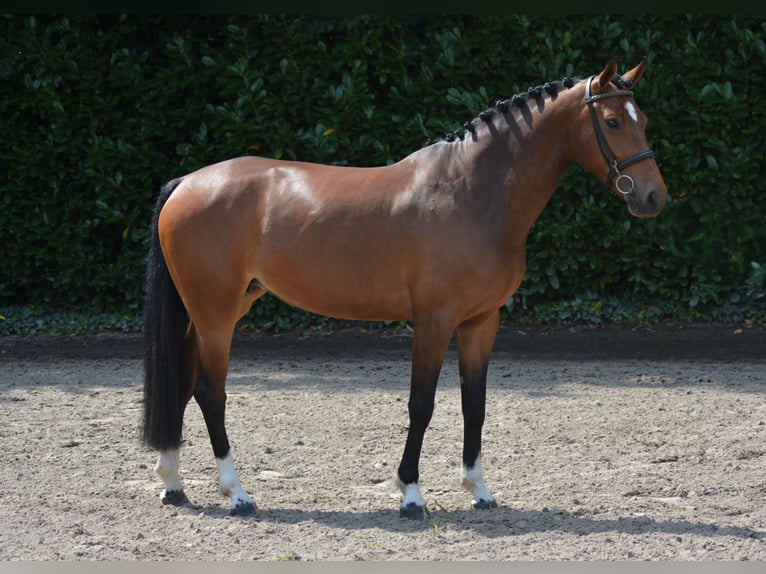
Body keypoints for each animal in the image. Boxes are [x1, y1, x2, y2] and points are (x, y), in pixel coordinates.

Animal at [142, 59, 664, 520]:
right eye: (613, 121)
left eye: (643, 120)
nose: (652, 196)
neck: (471, 192)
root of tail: (187, 182)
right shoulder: (434, 321)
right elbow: (422, 404)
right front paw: (411, 494)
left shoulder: (481, 322)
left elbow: (474, 403)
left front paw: (478, 489)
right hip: (216, 316)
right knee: (210, 392)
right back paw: (236, 493)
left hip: (214, 312)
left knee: (181, 383)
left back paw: (173, 483)